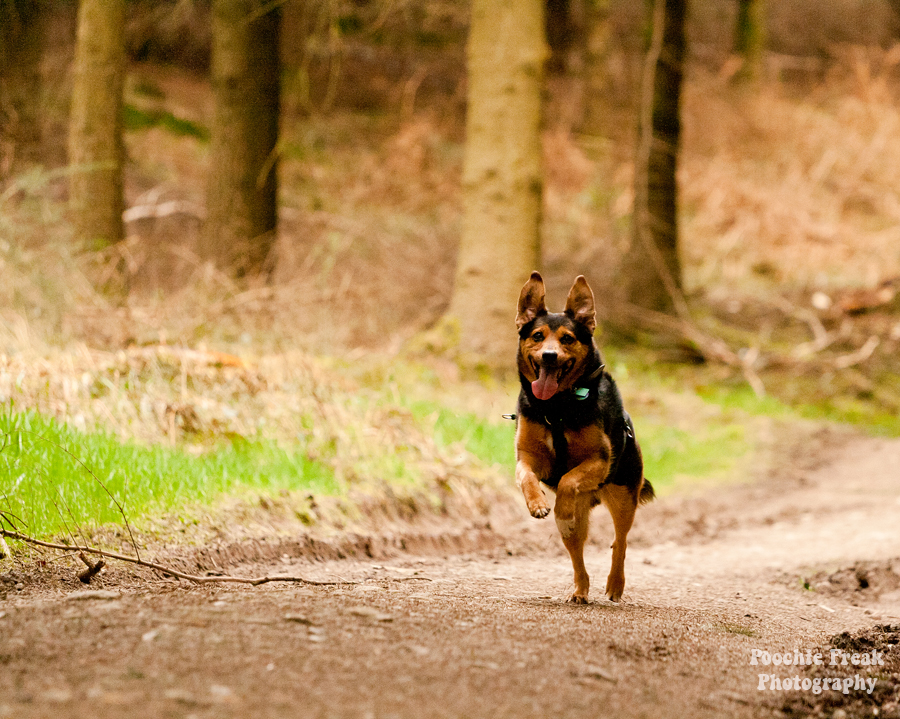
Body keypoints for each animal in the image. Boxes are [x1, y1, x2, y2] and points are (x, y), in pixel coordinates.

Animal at [512, 272, 652, 604]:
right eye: (537, 336)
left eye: (567, 339)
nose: (549, 356)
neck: (557, 408)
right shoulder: (527, 457)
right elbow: (527, 477)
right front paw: (537, 503)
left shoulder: (599, 462)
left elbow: (568, 480)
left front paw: (561, 504)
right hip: (577, 527)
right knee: (577, 552)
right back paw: (580, 588)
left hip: (624, 497)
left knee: (620, 542)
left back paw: (615, 584)